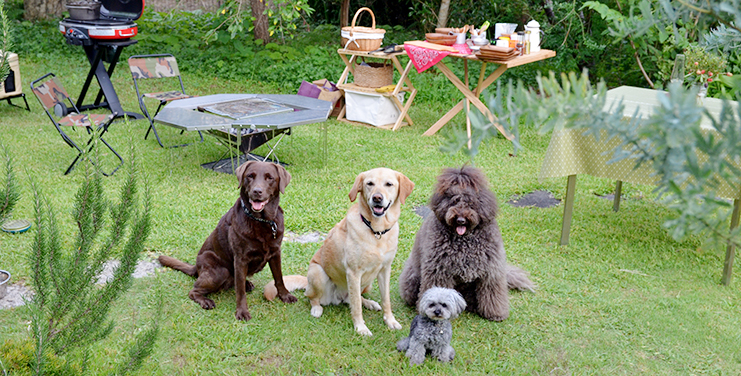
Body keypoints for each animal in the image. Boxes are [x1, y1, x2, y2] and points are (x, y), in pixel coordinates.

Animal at [264, 167, 414, 334]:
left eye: (389, 184)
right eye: (370, 183)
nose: (377, 198)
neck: (377, 231)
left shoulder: (384, 269)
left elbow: (385, 299)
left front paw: (390, 321)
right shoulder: (354, 273)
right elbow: (356, 306)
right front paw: (360, 328)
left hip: (367, 283)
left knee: (353, 299)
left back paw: (369, 303)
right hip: (318, 273)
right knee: (313, 297)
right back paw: (316, 309)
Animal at [398, 166, 532, 322]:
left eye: (470, 203)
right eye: (454, 201)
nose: (460, 219)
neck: (465, 241)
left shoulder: (491, 271)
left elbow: (493, 292)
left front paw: (496, 313)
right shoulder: (439, 270)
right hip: (413, 278)